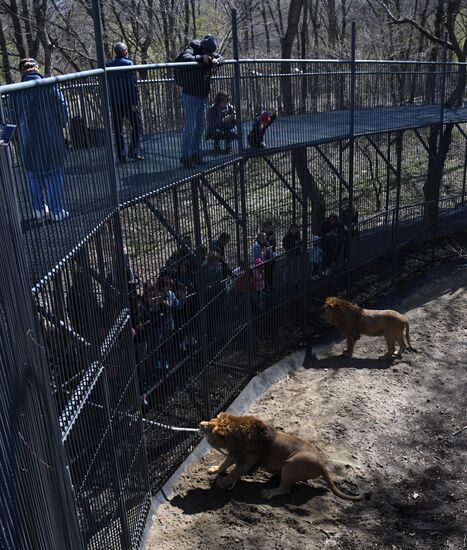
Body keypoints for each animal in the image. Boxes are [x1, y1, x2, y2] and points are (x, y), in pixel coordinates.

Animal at [199, 412, 364, 502]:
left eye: (210, 425)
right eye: (211, 420)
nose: (201, 423)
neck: (236, 436)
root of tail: (323, 464)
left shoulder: (246, 462)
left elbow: (233, 472)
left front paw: (222, 482)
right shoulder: (234, 453)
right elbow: (224, 464)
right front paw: (214, 470)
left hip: (291, 463)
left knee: (286, 489)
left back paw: (270, 492)